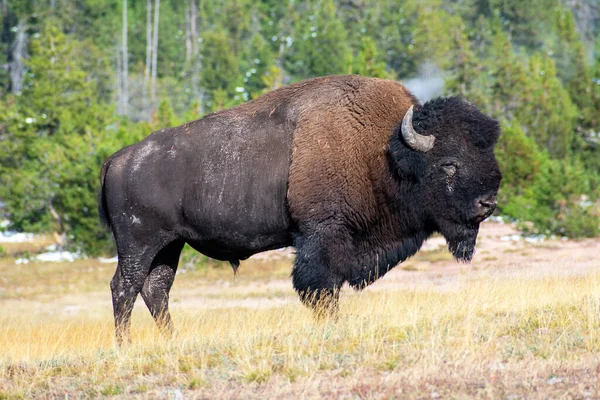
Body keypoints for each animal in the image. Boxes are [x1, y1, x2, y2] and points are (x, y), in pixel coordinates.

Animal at [99, 75, 502, 344]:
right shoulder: (322, 235)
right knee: (124, 286)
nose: (488, 202)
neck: (385, 151)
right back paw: (125, 345)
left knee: (156, 288)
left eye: (487, 152)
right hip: (139, 242)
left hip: (170, 245)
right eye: (449, 164)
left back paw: (172, 340)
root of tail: (118, 158)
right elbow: (321, 288)